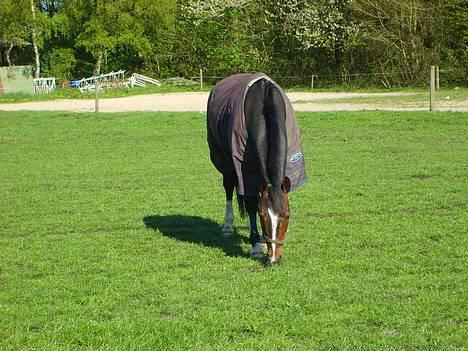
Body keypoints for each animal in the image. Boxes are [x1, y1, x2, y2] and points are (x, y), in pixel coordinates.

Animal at [207, 73, 306, 264]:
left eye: (287, 215)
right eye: (262, 215)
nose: (274, 258)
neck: (264, 100)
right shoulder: (245, 168)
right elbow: (251, 203)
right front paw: (256, 246)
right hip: (223, 159)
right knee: (229, 187)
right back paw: (228, 226)